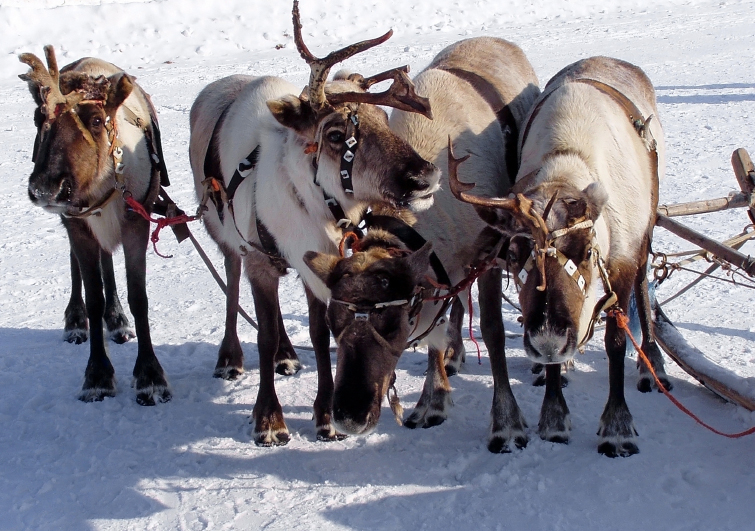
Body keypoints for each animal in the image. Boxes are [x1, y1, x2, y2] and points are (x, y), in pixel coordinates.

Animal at [20, 46, 172, 406]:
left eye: (97, 120)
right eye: (38, 119)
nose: (46, 189)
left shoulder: (136, 223)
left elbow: (139, 297)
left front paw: (150, 377)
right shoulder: (78, 225)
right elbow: (93, 296)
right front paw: (98, 376)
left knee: (108, 262)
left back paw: (116, 320)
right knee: (78, 267)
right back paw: (76, 321)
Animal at [188, 1, 440, 446]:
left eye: (383, 118)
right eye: (336, 134)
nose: (425, 177)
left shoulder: (317, 265)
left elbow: (320, 335)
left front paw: (325, 418)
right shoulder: (259, 259)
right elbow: (264, 333)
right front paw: (269, 420)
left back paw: (288, 357)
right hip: (223, 234)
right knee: (232, 283)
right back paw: (230, 358)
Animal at [303, 37, 541, 453]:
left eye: (393, 324)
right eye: (334, 323)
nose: (348, 416)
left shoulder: (490, 250)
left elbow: (493, 331)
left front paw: (507, 422)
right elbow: (438, 329)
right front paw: (433, 399)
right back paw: (455, 355)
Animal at [448, 56, 673, 457]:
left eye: (587, 251)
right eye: (515, 253)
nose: (548, 339)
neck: (566, 163)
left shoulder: (622, 258)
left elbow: (616, 340)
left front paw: (618, 426)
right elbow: (551, 363)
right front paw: (553, 416)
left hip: (647, 231)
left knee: (645, 289)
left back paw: (652, 364)